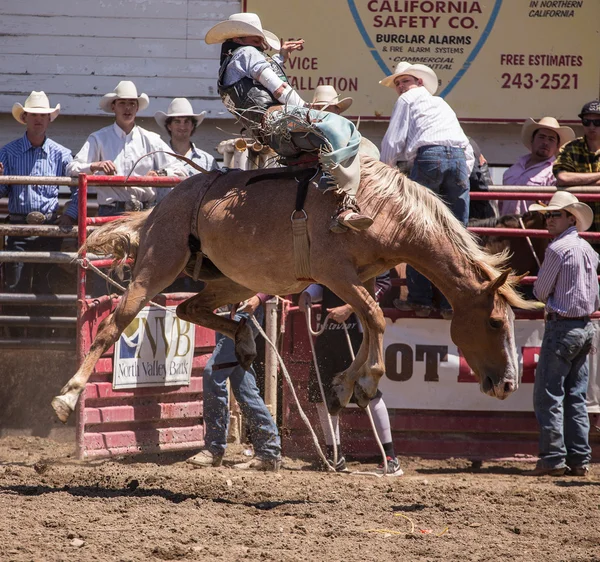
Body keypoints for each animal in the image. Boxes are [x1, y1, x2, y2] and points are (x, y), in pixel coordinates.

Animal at [50, 156, 540, 420]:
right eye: (495, 323)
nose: (509, 384)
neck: (381, 207)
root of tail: (160, 205)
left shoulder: (358, 279)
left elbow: (370, 319)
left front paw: (347, 385)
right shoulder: (336, 273)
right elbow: (376, 317)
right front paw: (363, 382)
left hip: (230, 281)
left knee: (190, 309)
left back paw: (246, 340)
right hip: (156, 266)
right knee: (114, 324)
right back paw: (66, 397)